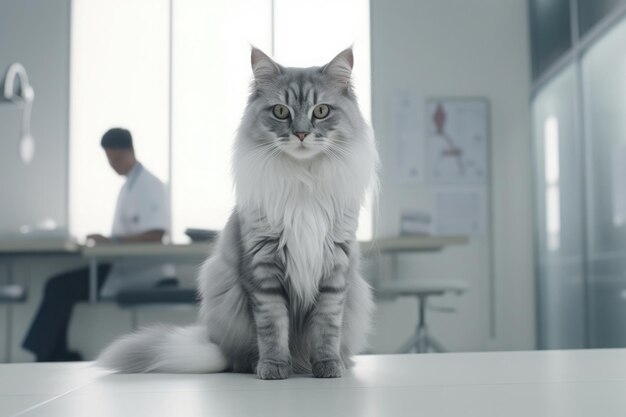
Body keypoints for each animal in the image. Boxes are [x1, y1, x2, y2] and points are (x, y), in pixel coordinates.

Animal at [98, 47, 376, 378]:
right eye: (280, 111)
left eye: (321, 111)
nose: (301, 134)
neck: (302, 179)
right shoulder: (263, 267)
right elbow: (272, 326)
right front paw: (273, 367)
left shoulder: (335, 268)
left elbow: (326, 327)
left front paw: (328, 367)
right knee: (238, 356)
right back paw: (258, 364)